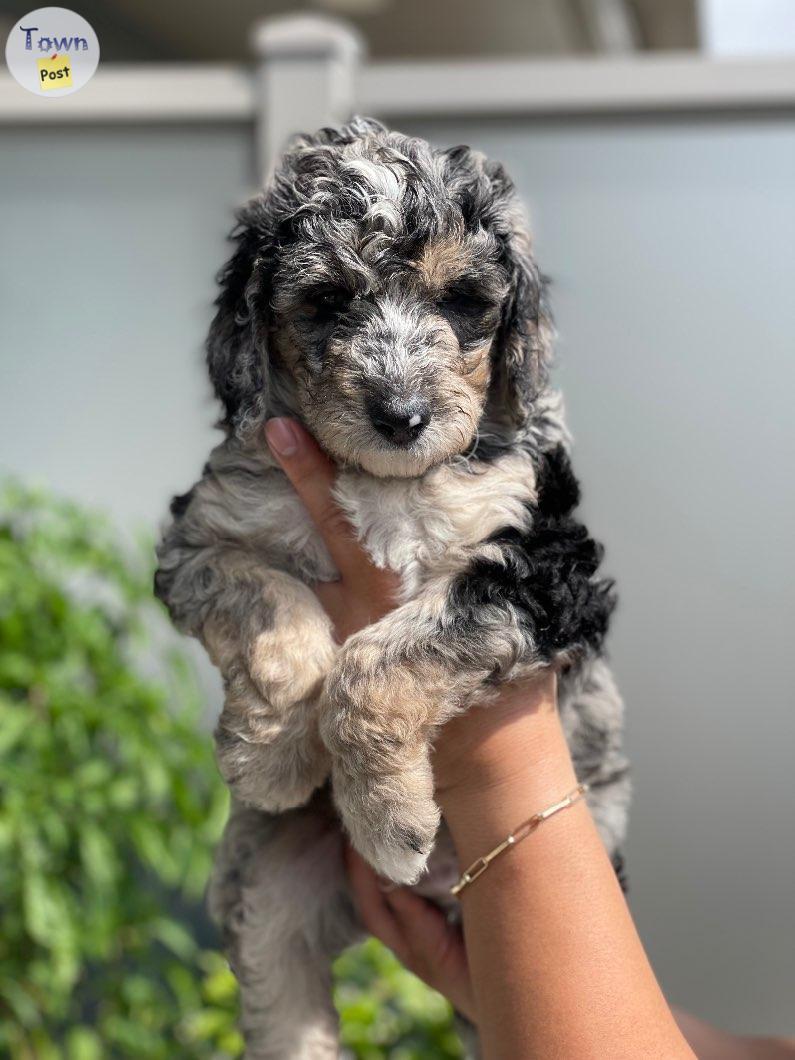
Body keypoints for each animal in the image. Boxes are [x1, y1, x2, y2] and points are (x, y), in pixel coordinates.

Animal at [153, 118, 627, 1060]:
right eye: (328, 300)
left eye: (461, 300)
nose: (402, 417)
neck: (386, 480)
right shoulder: (203, 536)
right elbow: (267, 605)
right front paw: (271, 753)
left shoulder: (543, 566)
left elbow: (384, 660)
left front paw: (386, 818)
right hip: (267, 884)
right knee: (284, 1002)